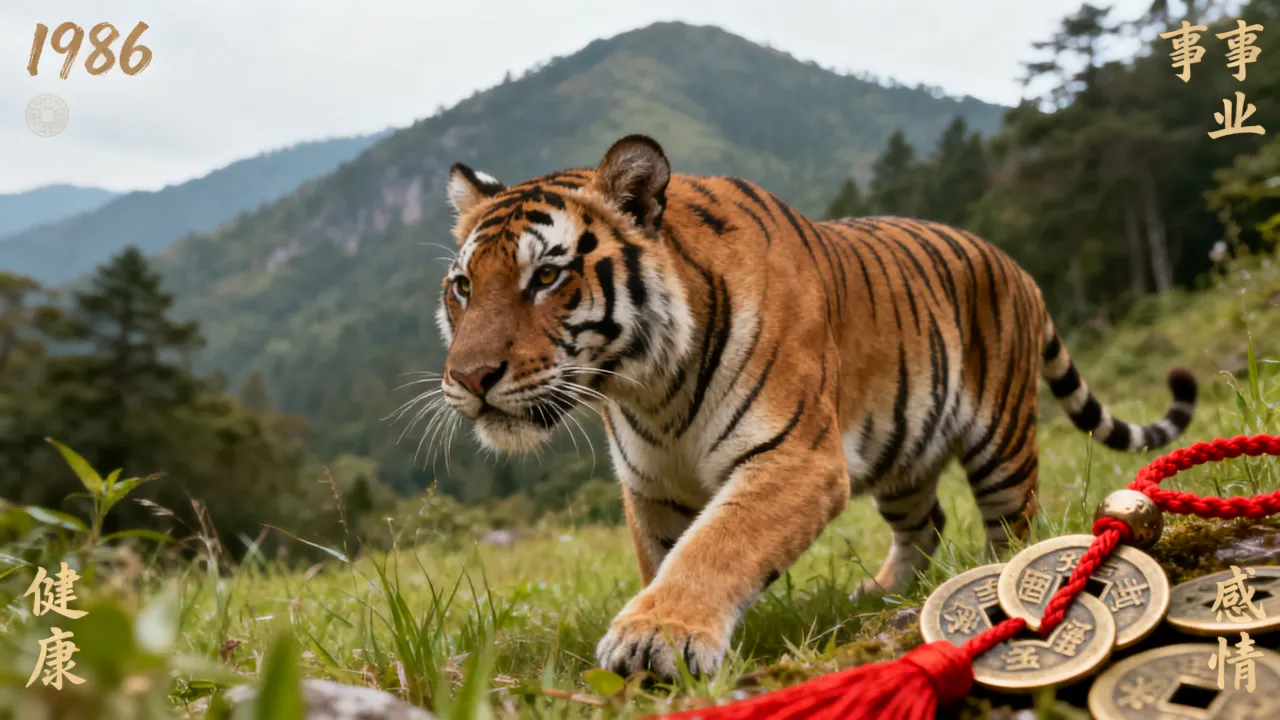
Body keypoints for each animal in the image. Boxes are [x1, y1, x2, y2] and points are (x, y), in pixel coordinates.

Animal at [433, 134, 1198, 678]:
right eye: (464, 286)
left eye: (546, 276)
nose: (469, 377)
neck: (648, 387)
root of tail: (1015, 265)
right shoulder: (653, 487)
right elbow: (667, 557)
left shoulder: (795, 457)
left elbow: (719, 543)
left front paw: (656, 638)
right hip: (902, 447)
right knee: (927, 519)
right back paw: (883, 593)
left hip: (1001, 440)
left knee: (1012, 523)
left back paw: (996, 579)